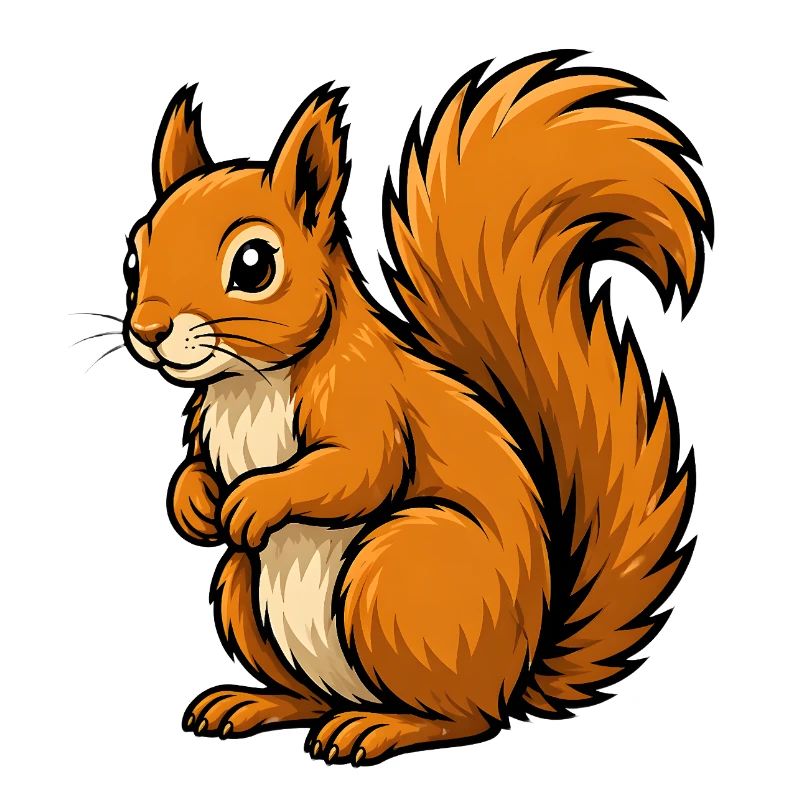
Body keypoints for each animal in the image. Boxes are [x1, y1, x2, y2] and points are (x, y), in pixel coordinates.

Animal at [121, 51, 711, 766]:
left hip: (399, 572)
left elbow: (358, 471)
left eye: (254, 264)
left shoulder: (367, 397)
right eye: (133, 257)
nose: (148, 331)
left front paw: (255, 499)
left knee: (468, 721)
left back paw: (379, 728)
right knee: (312, 693)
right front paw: (196, 504)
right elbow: (193, 472)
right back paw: (255, 702)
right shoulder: (207, 423)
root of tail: (517, 674)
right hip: (243, 589)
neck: (249, 383)